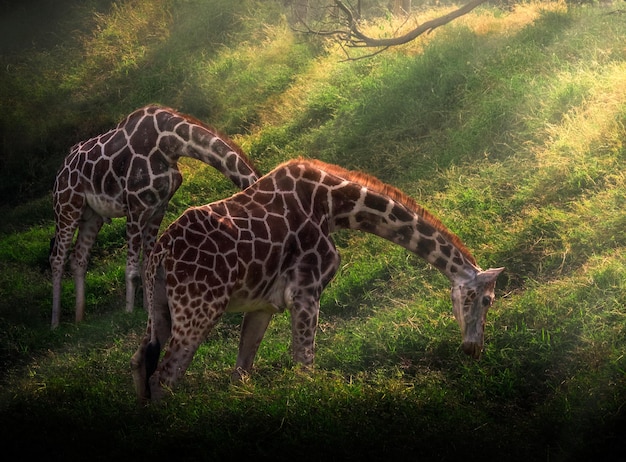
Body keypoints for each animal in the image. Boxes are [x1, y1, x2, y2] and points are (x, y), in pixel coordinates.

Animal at [49, 104, 260, 328]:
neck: (169, 144)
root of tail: (61, 168)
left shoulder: (158, 208)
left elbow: (148, 265)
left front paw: (149, 308)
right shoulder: (136, 208)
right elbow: (133, 271)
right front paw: (129, 312)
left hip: (92, 216)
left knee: (79, 257)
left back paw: (79, 319)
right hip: (66, 207)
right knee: (57, 258)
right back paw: (55, 324)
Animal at [130, 157, 502, 398]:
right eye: (487, 300)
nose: (474, 349)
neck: (336, 205)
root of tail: (160, 256)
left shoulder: (264, 304)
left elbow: (242, 374)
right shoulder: (307, 290)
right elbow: (305, 368)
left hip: (159, 309)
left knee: (140, 364)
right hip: (199, 309)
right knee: (165, 377)